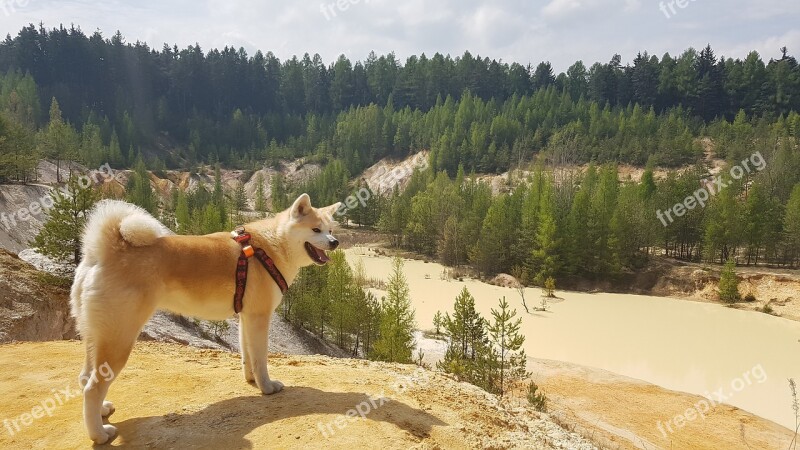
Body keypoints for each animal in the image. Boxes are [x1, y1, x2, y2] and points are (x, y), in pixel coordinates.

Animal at [69, 193, 340, 442]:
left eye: (330, 229)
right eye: (316, 229)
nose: (335, 242)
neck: (271, 246)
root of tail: (104, 252)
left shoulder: (246, 318)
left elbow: (248, 356)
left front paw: (252, 380)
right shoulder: (260, 317)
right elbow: (261, 358)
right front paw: (267, 387)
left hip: (95, 337)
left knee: (84, 378)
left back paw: (102, 412)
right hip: (119, 340)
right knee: (92, 388)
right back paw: (99, 434)